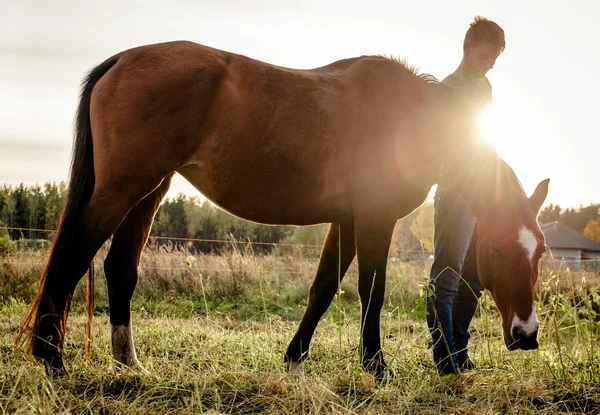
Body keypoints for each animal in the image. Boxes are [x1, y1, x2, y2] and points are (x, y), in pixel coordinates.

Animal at [15, 41, 548, 376]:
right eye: (497, 249)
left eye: (540, 251)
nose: (526, 334)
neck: (413, 119)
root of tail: (121, 60)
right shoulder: (374, 220)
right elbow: (370, 291)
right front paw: (375, 366)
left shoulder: (346, 221)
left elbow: (323, 290)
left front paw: (295, 356)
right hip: (123, 189)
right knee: (71, 256)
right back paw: (51, 359)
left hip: (150, 191)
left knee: (119, 268)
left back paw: (129, 363)